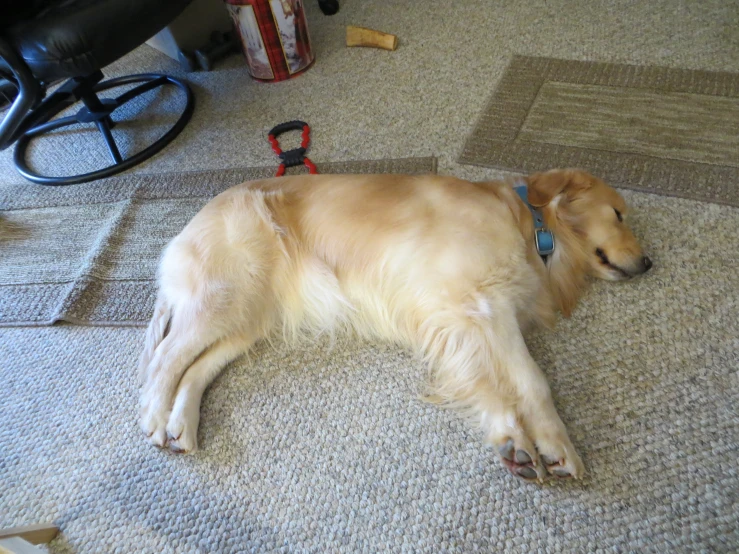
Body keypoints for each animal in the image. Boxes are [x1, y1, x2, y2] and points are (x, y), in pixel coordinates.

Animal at [136, 167, 652, 478]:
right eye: (619, 214)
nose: (649, 262)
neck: (530, 223)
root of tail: (186, 228)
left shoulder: (460, 321)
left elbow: (488, 382)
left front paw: (515, 442)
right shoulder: (480, 304)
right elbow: (532, 381)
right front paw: (556, 444)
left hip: (246, 318)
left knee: (194, 369)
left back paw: (182, 425)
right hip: (224, 297)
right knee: (164, 360)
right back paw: (157, 418)